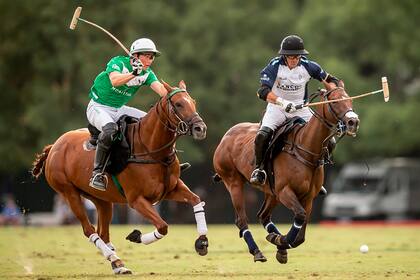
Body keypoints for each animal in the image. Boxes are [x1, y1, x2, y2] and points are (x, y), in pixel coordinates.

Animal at [32, 80, 209, 274]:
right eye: (178, 104)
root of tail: (54, 146)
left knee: (103, 232)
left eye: (193, 102)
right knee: (89, 230)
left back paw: (118, 265)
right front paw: (136, 236)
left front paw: (202, 242)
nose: (200, 128)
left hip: (101, 200)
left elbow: (196, 199)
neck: (151, 149)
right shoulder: (136, 199)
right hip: (69, 193)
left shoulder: (172, 189)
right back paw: (115, 259)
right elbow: (162, 226)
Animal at [215, 86, 360, 264]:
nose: (353, 122)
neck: (305, 149)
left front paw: (279, 243)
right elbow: (299, 216)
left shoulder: (308, 197)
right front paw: (279, 240)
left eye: (350, 99)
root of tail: (225, 136)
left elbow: (300, 235)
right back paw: (257, 251)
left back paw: (277, 244)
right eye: (334, 101)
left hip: (272, 192)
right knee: (241, 220)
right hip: (233, 182)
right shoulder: (285, 191)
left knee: (263, 216)